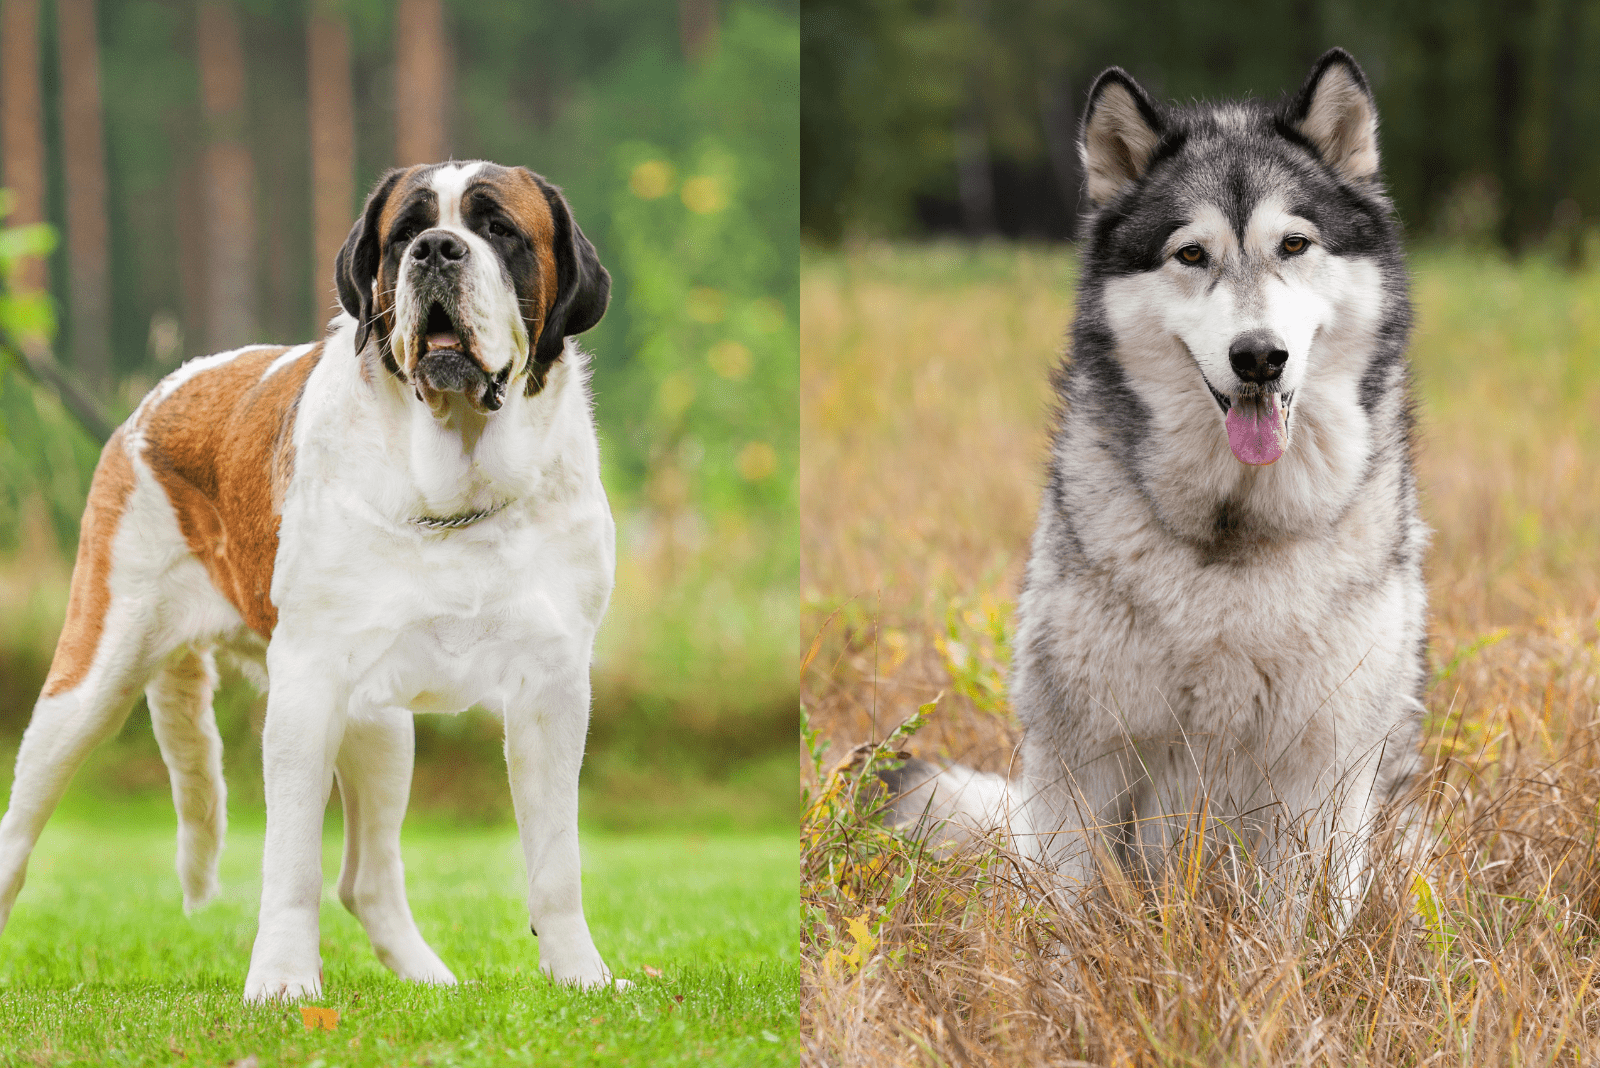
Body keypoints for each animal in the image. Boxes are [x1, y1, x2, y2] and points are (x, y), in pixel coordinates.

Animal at [0, 160, 617, 1004]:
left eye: (499, 230)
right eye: (403, 233)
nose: (436, 249)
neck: (454, 480)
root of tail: (158, 397)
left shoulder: (552, 685)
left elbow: (557, 862)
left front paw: (581, 978)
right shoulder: (309, 684)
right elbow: (290, 859)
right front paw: (283, 982)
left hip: (381, 723)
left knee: (369, 878)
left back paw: (433, 981)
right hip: (88, 682)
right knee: (19, 828)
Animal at [889, 47, 1427, 901]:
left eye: (1294, 246)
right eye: (1192, 254)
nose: (1259, 356)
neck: (1235, 535)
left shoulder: (1324, 766)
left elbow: (1294, 917)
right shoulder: (1084, 758)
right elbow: (1076, 910)